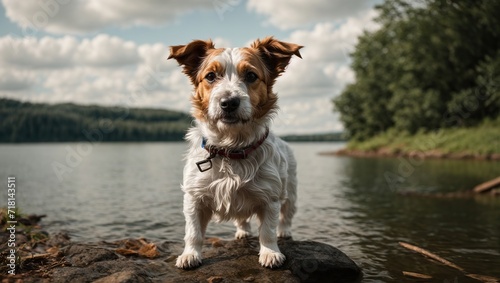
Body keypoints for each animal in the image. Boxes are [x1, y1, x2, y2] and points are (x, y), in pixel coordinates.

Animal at [168, 36, 300, 270]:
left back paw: (284, 231)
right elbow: (193, 232)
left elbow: (267, 231)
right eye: (210, 76)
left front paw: (270, 252)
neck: (230, 148)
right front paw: (190, 254)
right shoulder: (194, 198)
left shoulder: (270, 198)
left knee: (286, 215)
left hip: (290, 191)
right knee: (242, 218)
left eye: (251, 75)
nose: (229, 102)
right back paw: (242, 231)